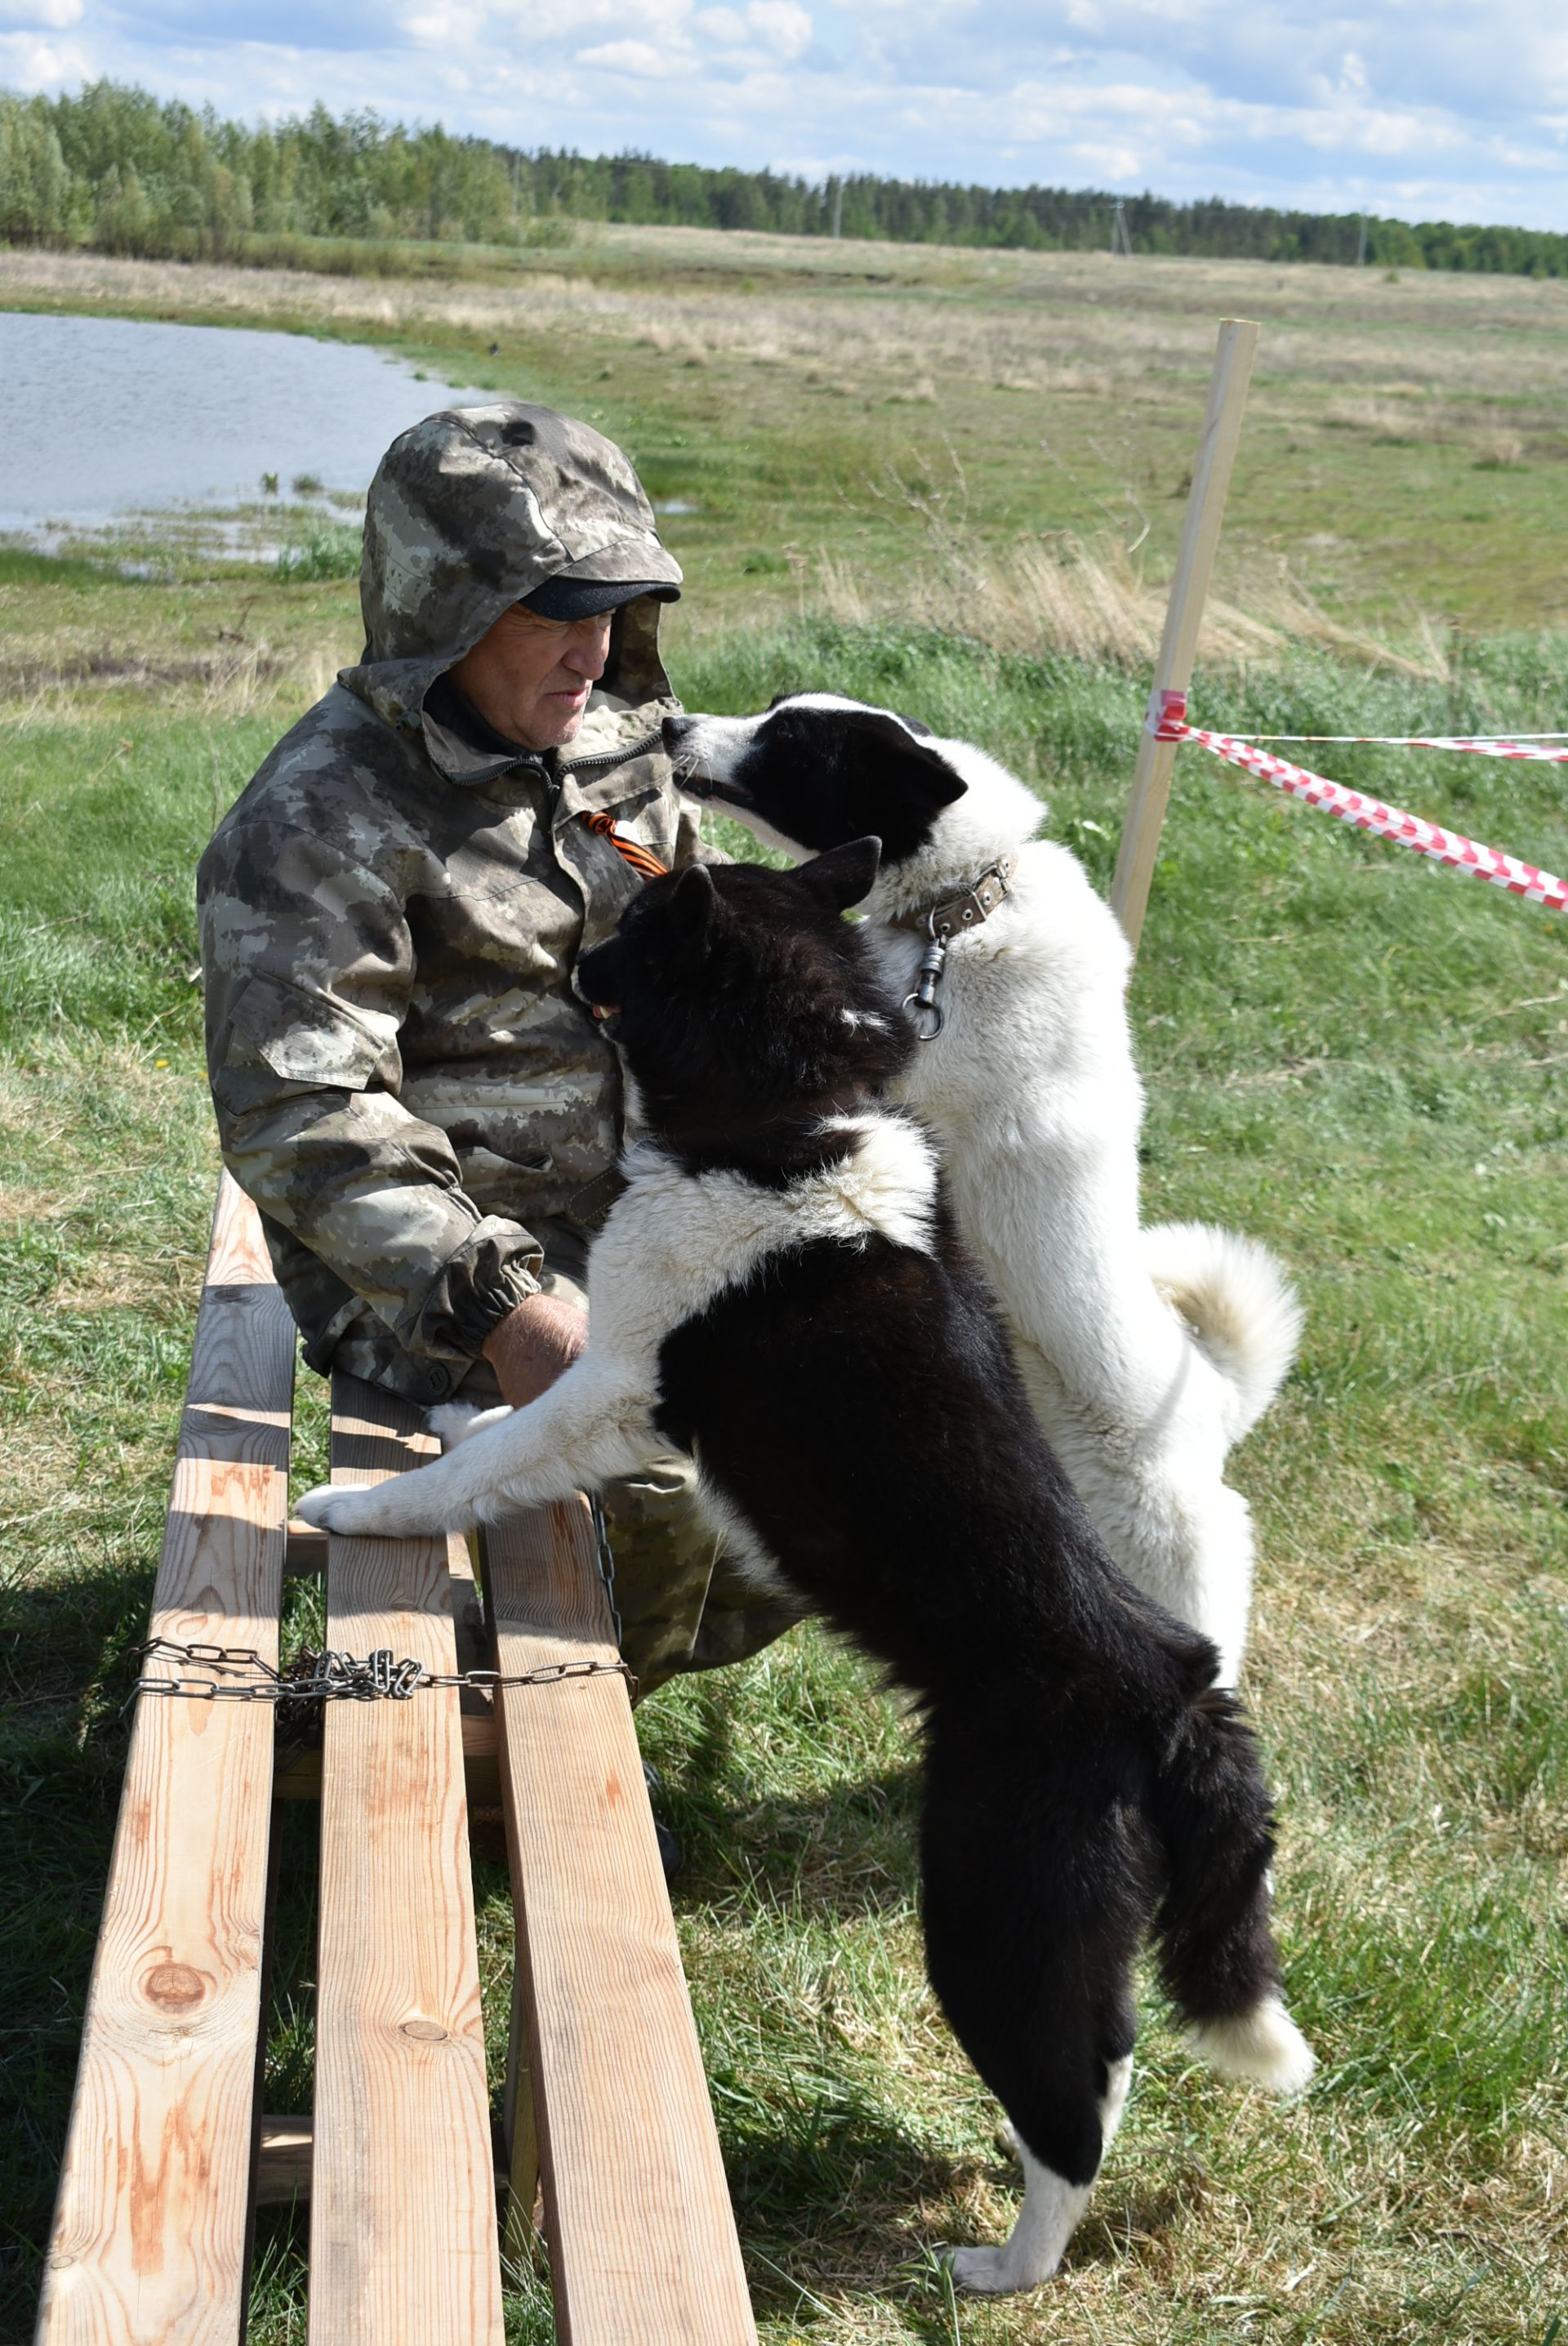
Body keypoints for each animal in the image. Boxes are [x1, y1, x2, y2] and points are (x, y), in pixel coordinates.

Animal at [296, 844, 1312, 2290]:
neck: (794, 1124)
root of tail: (1169, 1685)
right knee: (1106, 2071)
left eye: (641, 925)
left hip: (994, 1918)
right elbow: (500, 1437)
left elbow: (491, 1462)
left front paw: (363, 1500)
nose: (575, 957)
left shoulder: (621, 1387)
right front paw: (446, 1410)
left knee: (1069, 2109)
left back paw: (1001, 2268)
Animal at [661, 694, 1294, 1688]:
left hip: (1165, 1550)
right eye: (774, 710)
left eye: (788, 744)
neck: (962, 910)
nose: (670, 724)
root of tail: (1217, 1402)